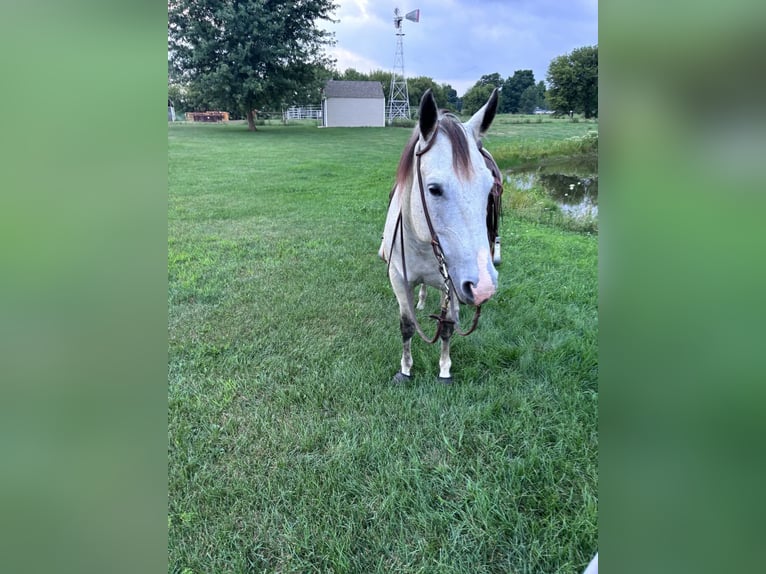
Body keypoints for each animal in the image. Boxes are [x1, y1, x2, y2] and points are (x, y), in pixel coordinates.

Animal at [379, 88, 502, 384]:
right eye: (434, 189)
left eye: (489, 187)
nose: (484, 286)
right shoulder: (398, 279)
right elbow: (407, 325)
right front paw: (405, 370)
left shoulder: (454, 284)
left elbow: (446, 327)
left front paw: (445, 370)